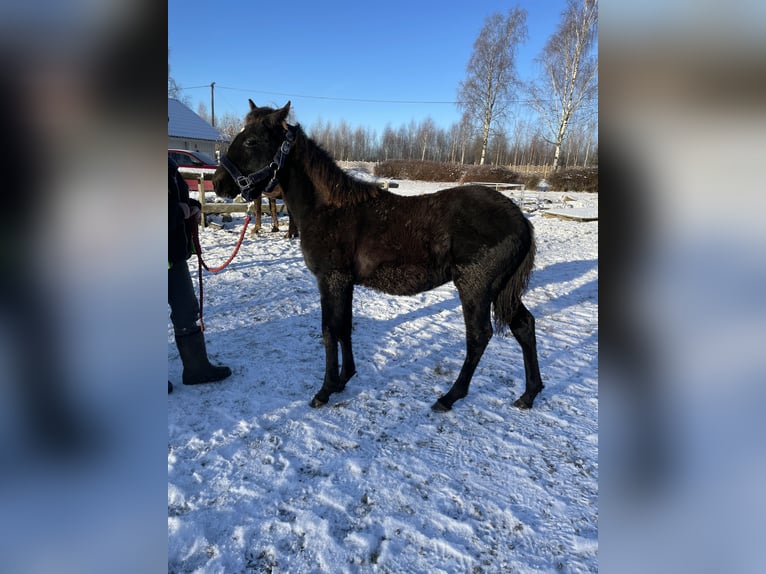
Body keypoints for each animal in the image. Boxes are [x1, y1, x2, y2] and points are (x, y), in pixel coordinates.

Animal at [213, 100, 543, 412]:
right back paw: (528, 394)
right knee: (524, 326)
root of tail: (520, 220)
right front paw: (344, 379)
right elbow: (344, 328)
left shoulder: (331, 280)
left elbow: (329, 331)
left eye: (251, 141)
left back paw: (449, 397)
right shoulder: (344, 283)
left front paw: (325, 390)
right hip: (501, 291)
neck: (329, 209)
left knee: (478, 337)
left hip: (476, 289)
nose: (218, 183)